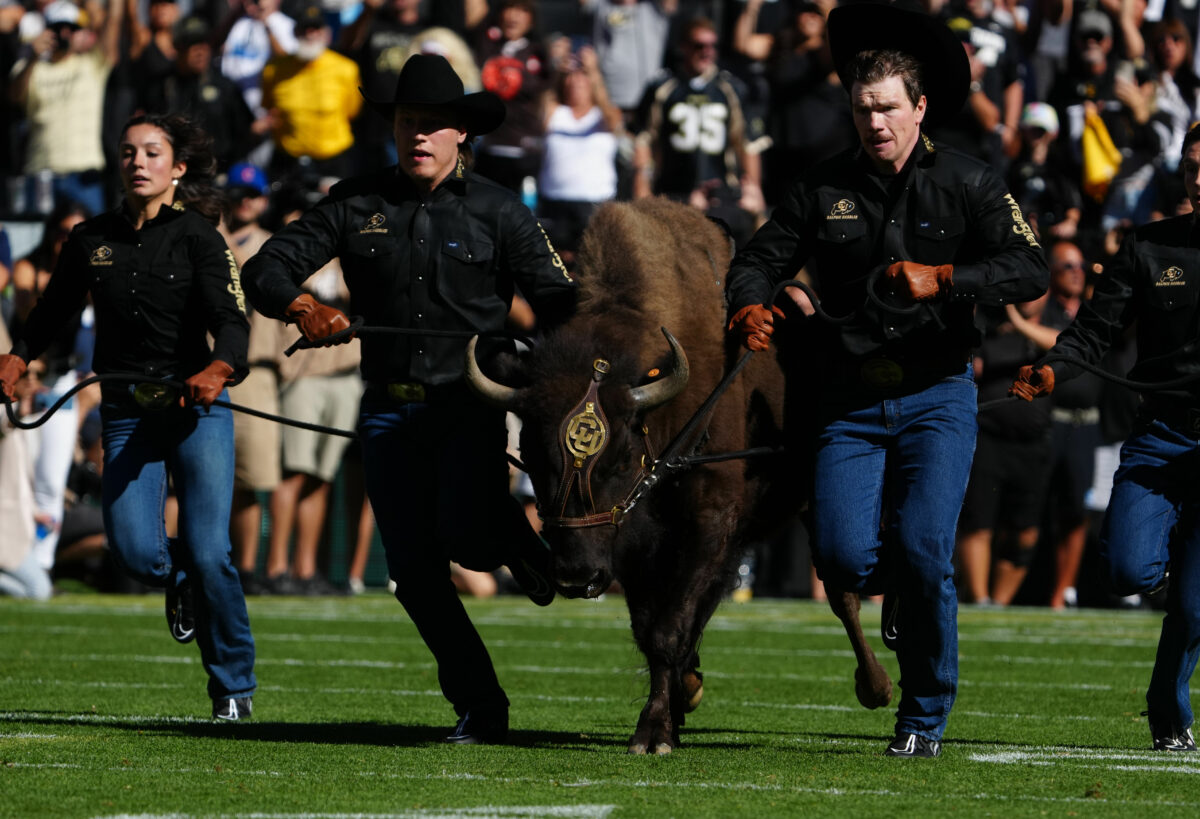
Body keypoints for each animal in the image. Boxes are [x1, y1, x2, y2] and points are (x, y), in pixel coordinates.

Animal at [465, 194, 892, 749]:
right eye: (531, 458)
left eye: (620, 458)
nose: (577, 577)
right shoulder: (633, 545)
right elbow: (654, 627)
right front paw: (671, 708)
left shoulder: (709, 523)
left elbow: (669, 627)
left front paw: (654, 733)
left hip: (812, 505)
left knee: (841, 592)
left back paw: (876, 687)